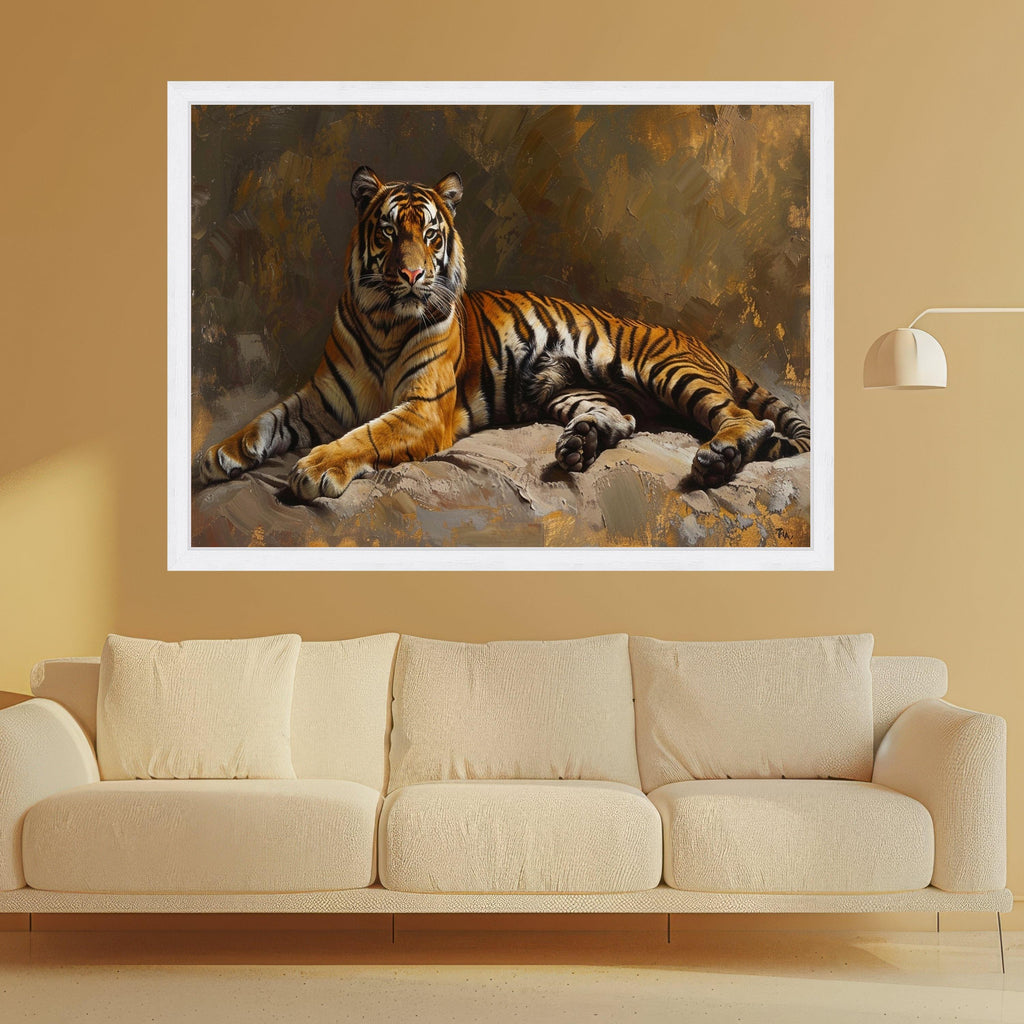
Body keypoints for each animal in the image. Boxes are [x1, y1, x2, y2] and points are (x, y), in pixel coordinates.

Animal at [199, 166, 810, 501]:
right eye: (389, 232)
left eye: (432, 234)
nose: (412, 276)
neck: (384, 320)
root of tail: (698, 341)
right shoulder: (320, 399)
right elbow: (264, 420)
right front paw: (215, 457)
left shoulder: (422, 409)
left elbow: (365, 435)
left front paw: (315, 468)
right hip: (571, 391)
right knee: (622, 417)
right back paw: (579, 446)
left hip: (665, 369)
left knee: (744, 419)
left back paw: (719, 457)